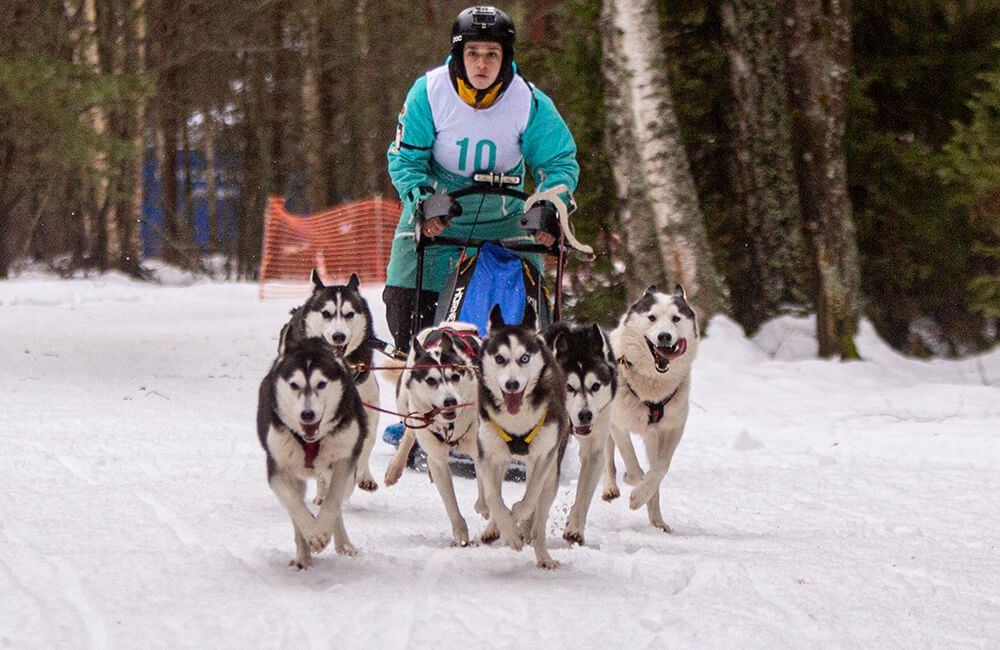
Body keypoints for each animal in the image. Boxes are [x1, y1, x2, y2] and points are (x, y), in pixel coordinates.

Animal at [256, 334, 370, 568]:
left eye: (321, 383)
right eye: (294, 384)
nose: (307, 414)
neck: (311, 440)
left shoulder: (345, 460)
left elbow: (333, 499)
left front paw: (322, 528)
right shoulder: (278, 467)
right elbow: (294, 504)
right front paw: (312, 533)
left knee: (338, 501)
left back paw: (343, 544)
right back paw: (303, 557)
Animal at [380, 322, 486, 544]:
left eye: (455, 376)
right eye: (430, 380)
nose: (450, 401)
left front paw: (487, 510)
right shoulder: (438, 459)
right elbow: (450, 502)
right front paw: (461, 534)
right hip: (404, 402)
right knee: (409, 432)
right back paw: (396, 466)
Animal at [478, 304, 572, 568]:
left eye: (524, 358)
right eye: (499, 358)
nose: (512, 384)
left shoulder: (543, 457)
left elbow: (530, 496)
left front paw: (518, 515)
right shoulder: (488, 454)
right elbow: (493, 496)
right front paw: (509, 531)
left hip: (551, 471)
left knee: (539, 517)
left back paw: (542, 555)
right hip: (500, 460)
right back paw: (495, 528)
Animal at [544, 322, 612, 544]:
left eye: (595, 386)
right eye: (569, 387)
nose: (585, 415)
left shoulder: (595, 448)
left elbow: (583, 495)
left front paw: (574, 529)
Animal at [596, 284, 700, 532]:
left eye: (676, 318)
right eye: (651, 317)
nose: (664, 336)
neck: (651, 385)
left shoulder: (672, 428)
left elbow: (661, 468)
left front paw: (643, 494)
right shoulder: (618, 425)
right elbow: (631, 463)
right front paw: (633, 485)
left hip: (652, 438)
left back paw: (657, 520)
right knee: (607, 457)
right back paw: (611, 487)